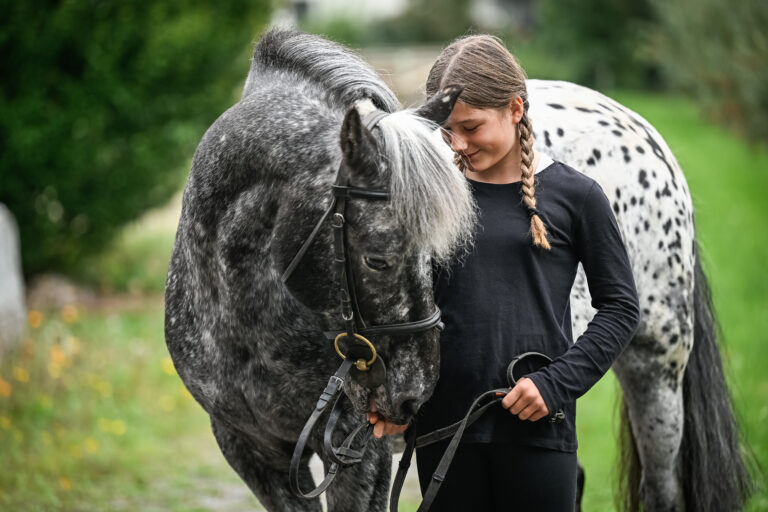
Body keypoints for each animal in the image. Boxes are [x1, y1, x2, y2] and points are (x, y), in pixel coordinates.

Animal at [165, 29, 752, 511]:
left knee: (661, 489)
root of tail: (640, 131)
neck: (246, 317)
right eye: (377, 258)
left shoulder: (357, 459)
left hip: (656, 367)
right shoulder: (253, 453)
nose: (415, 394)